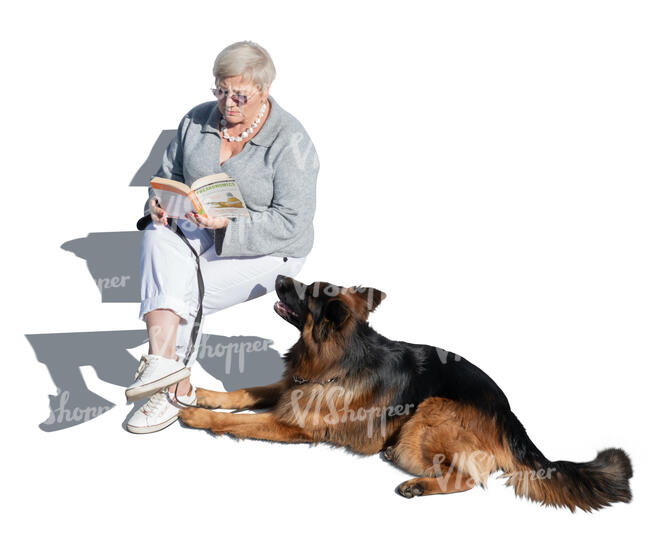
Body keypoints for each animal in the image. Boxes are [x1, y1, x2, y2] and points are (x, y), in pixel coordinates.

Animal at [178, 276, 632, 512]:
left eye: (306, 291)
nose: (277, 277)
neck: (341, 355)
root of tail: (509, 418)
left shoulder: (294, 426)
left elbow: (241, 422)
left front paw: (199, 416)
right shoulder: (292, 389)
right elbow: (246, 392)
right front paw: (206, 394)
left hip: (425, 419)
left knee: (470, 478)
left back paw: (419, 487)